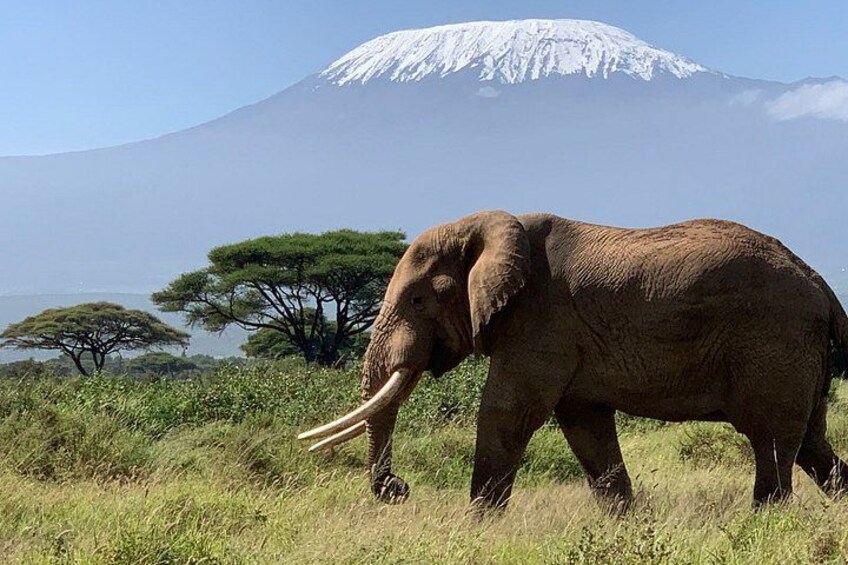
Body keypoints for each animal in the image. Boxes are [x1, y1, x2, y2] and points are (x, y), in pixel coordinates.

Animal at [299, 210, 848, 511]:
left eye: (416, 300)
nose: (397, 489)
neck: (493, 229)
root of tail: (821, 284)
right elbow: (586, 428)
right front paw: (627, 526)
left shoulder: (543, 321)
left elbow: (505, 413)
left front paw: (476, 527)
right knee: (811, 445)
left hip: (774, 343)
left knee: (772, 444)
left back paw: (763, 523)